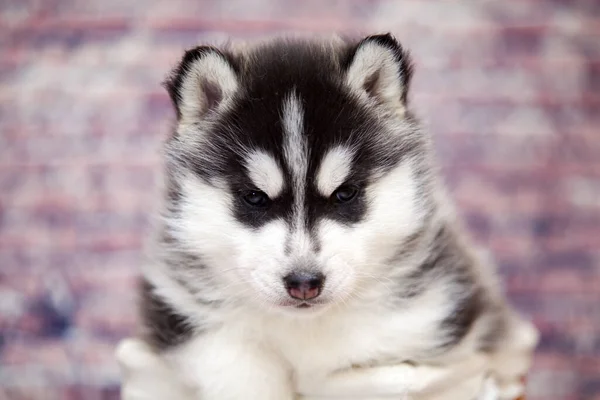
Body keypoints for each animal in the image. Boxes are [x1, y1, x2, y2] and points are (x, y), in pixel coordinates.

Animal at [123, 33, 540, 400]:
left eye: (344, 194)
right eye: (255, 198)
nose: (304, 283)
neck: (304, 327)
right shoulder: (185, 314)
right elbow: (240, 367)